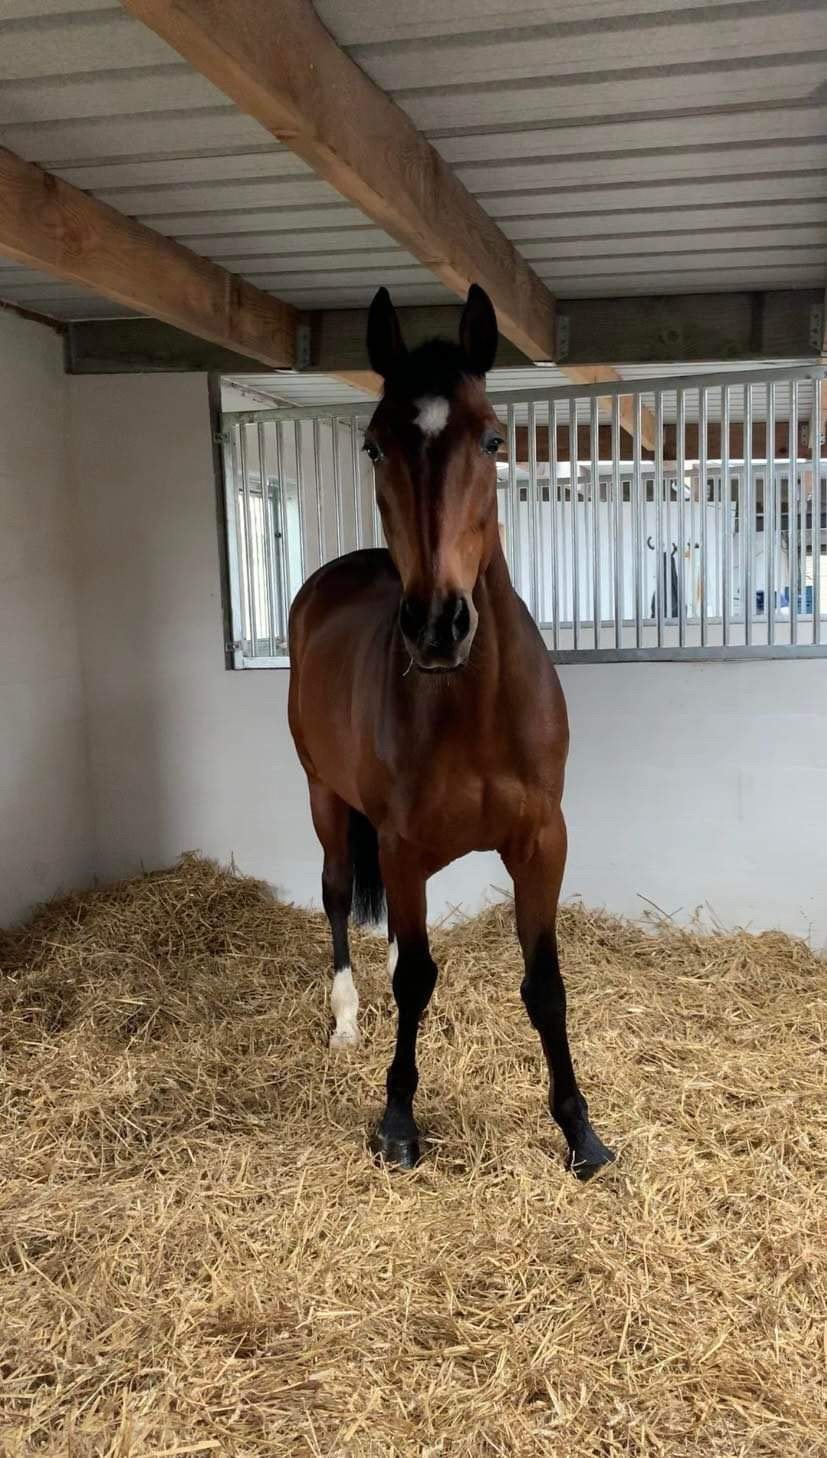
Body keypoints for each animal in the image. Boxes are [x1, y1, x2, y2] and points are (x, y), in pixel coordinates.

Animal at [288, 284, 614, 1181]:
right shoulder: (399, 847)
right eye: (372, 444)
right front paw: (398, 1120)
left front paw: (579, 1131)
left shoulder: (542, 841)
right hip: (324, 797)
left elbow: (543, 985)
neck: (472, 709)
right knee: (338, 896)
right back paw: (344, 1018)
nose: (438, 625)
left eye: (494, 438)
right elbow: (413, 983)